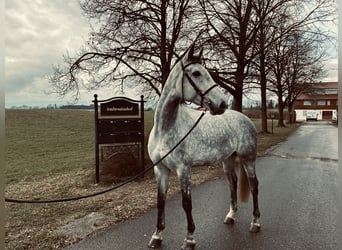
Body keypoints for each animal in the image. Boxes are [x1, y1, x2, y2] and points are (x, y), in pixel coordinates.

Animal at [147, 44, 260, 249]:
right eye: (197, 73)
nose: (221, 104)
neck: (165, 128)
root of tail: (246, 119)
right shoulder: (160, 169)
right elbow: (160, 201)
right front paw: (157, 236)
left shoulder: (184, 169)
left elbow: (187, 204)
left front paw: (189, 239)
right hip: (228, 160)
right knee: (233, 183)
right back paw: (231, 216)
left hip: (248, 159)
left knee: (254, 186)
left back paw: (255, 223)